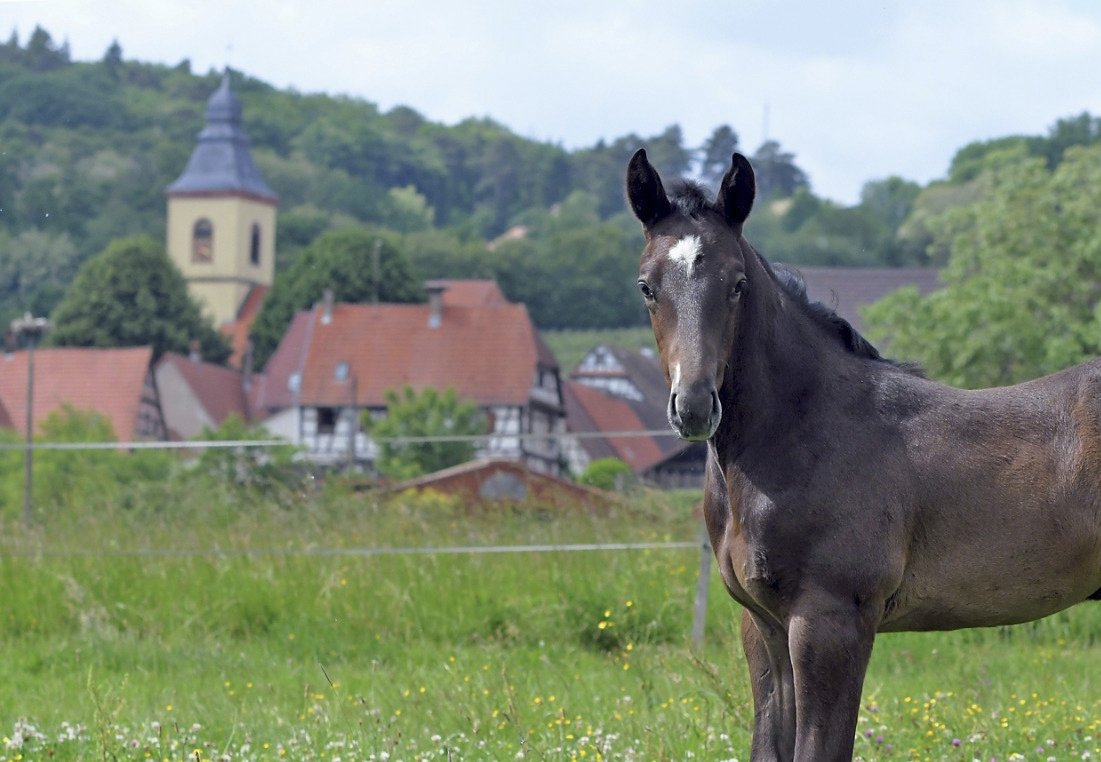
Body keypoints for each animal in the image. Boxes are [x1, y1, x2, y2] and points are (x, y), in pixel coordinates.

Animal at [626, 148, 1101, 761]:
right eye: (646, 286)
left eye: (736, 284)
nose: (693, 406)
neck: (803, 432)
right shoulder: (762, 628)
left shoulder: (830, 623)